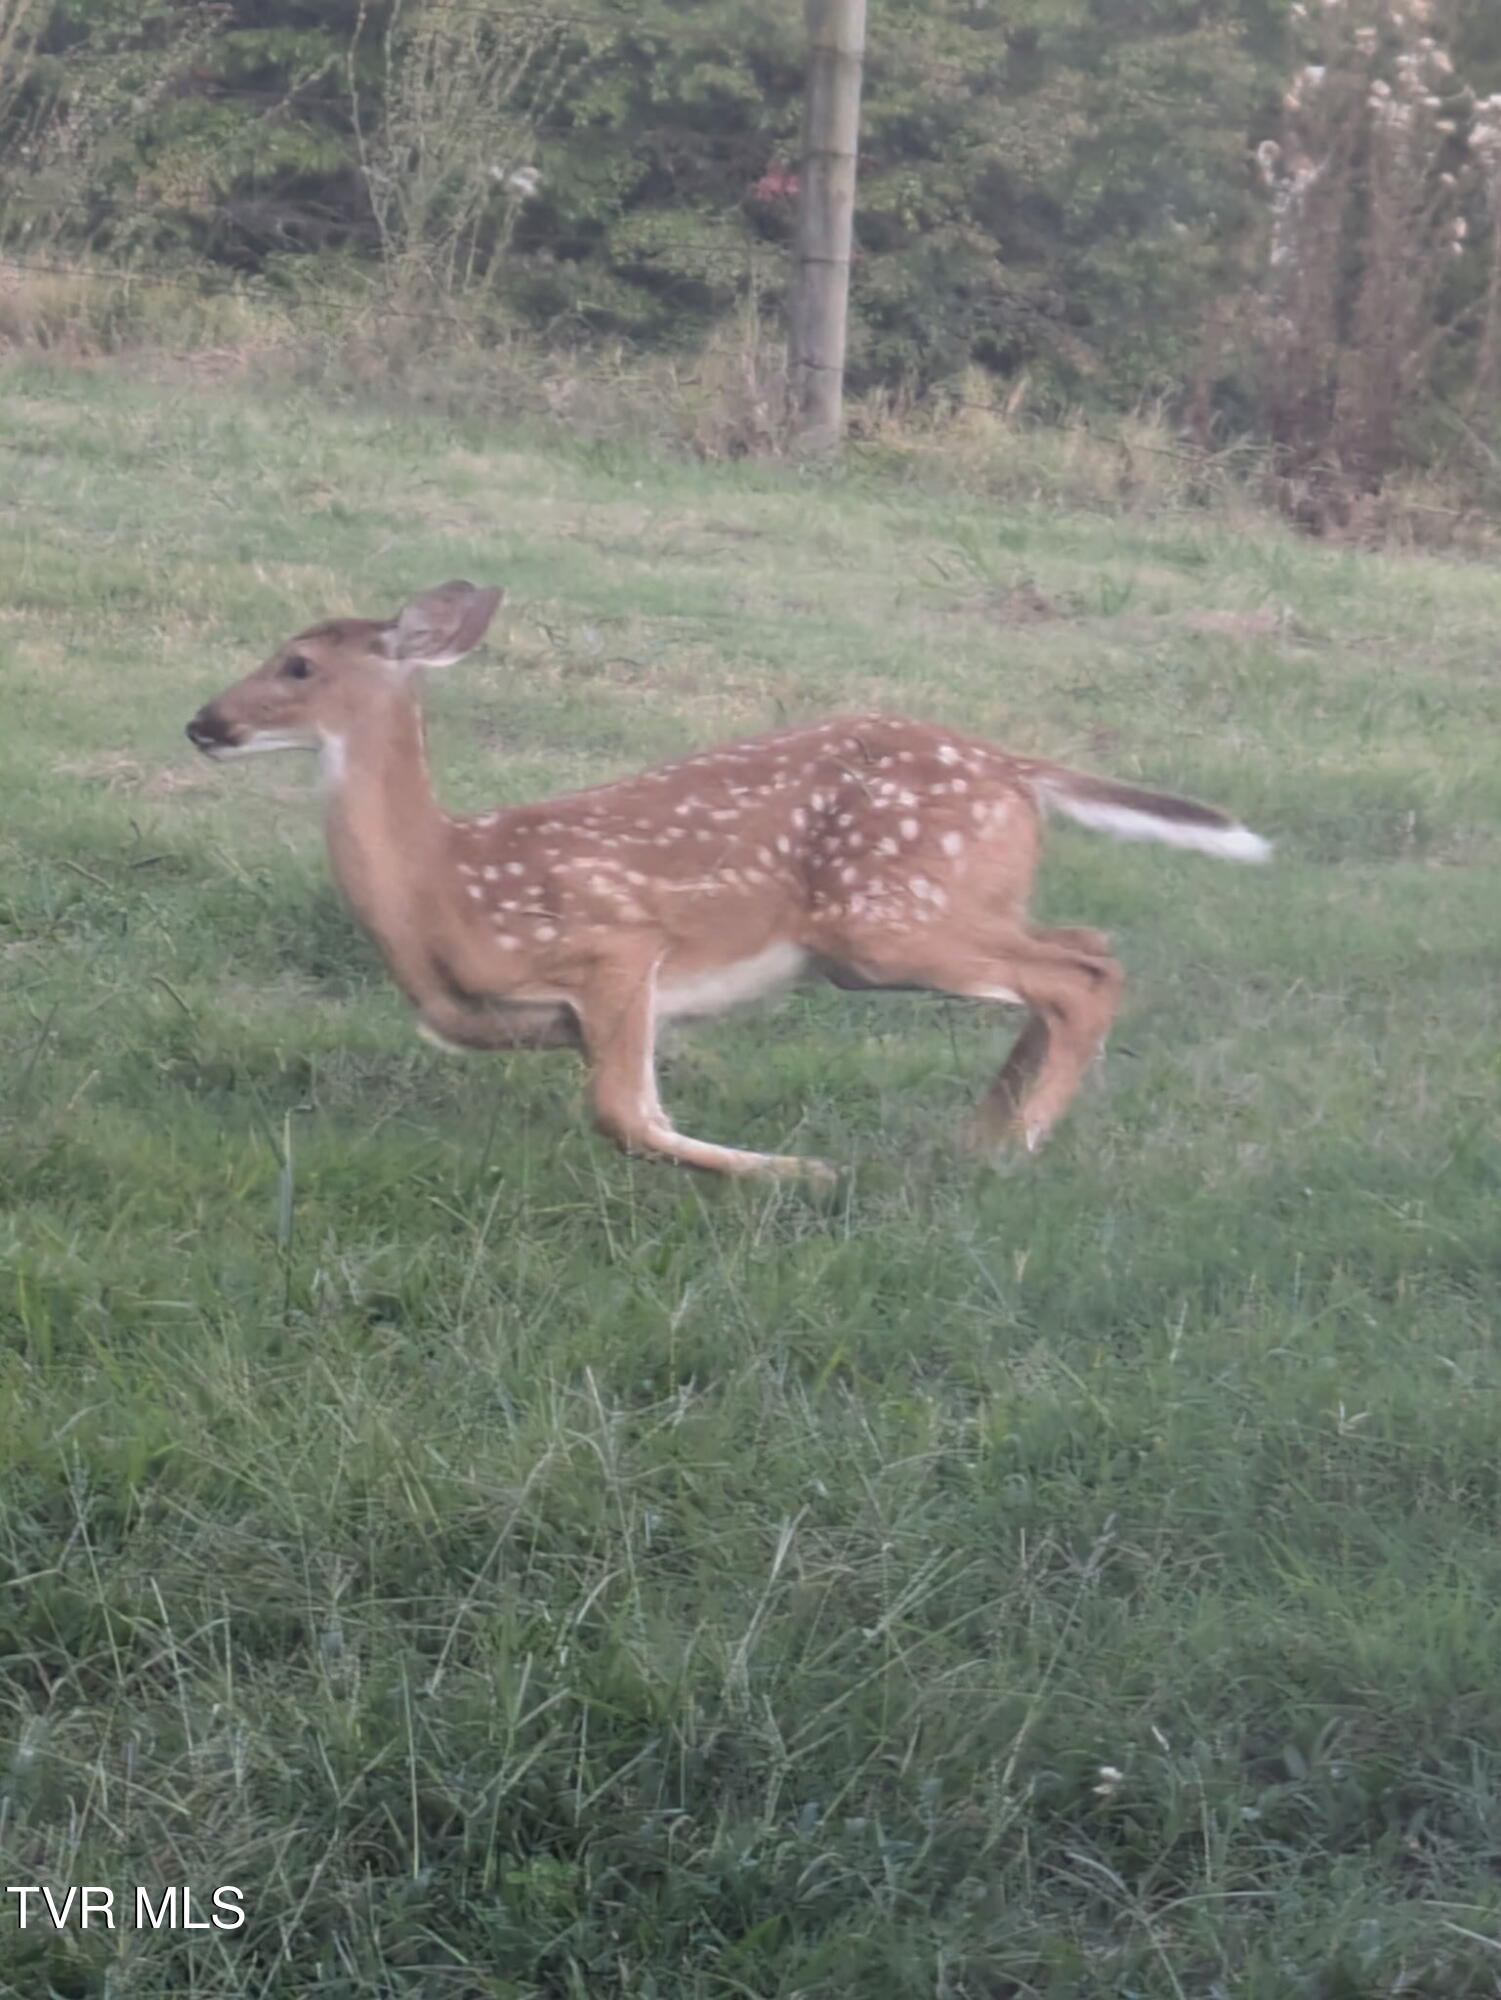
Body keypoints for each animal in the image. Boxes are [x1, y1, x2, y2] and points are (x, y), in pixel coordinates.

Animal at [186, 581, 1270, 1182]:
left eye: (295, 665)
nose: (203, 722)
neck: (443, 885)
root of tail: (1014, 766)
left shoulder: (614, 942)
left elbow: (625, 1116)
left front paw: (805, 1172)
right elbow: (625, 1104)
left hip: (885, 917)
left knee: (1080, 975)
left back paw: (1017, 1141)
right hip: (935, 914)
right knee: (1084, 949)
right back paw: (983, 1130)